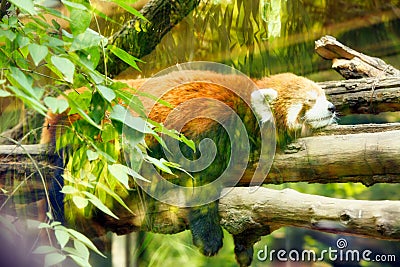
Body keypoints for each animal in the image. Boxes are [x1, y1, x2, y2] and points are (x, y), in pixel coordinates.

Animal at [40, 70, 336, 264]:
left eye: (323, 96)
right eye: (310, 100)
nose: (332, 107)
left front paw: (244, 245)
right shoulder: (208, 125)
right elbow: (201, 184)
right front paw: (209, 237)